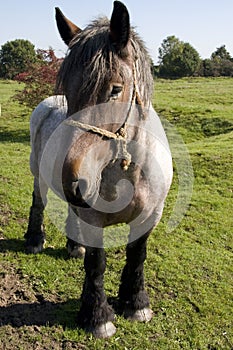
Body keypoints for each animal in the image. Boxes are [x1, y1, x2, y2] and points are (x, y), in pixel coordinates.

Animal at [24, 0, 173, 340]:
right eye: (68, 90)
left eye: (115, 89)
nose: (74, 182)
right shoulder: (92, 217)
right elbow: (97, 263)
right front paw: (98, 316)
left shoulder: (151, 215)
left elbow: (137, 255)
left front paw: (136, 303)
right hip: (39, 174)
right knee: (39, 202)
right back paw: (35, 239)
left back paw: (74, 245)